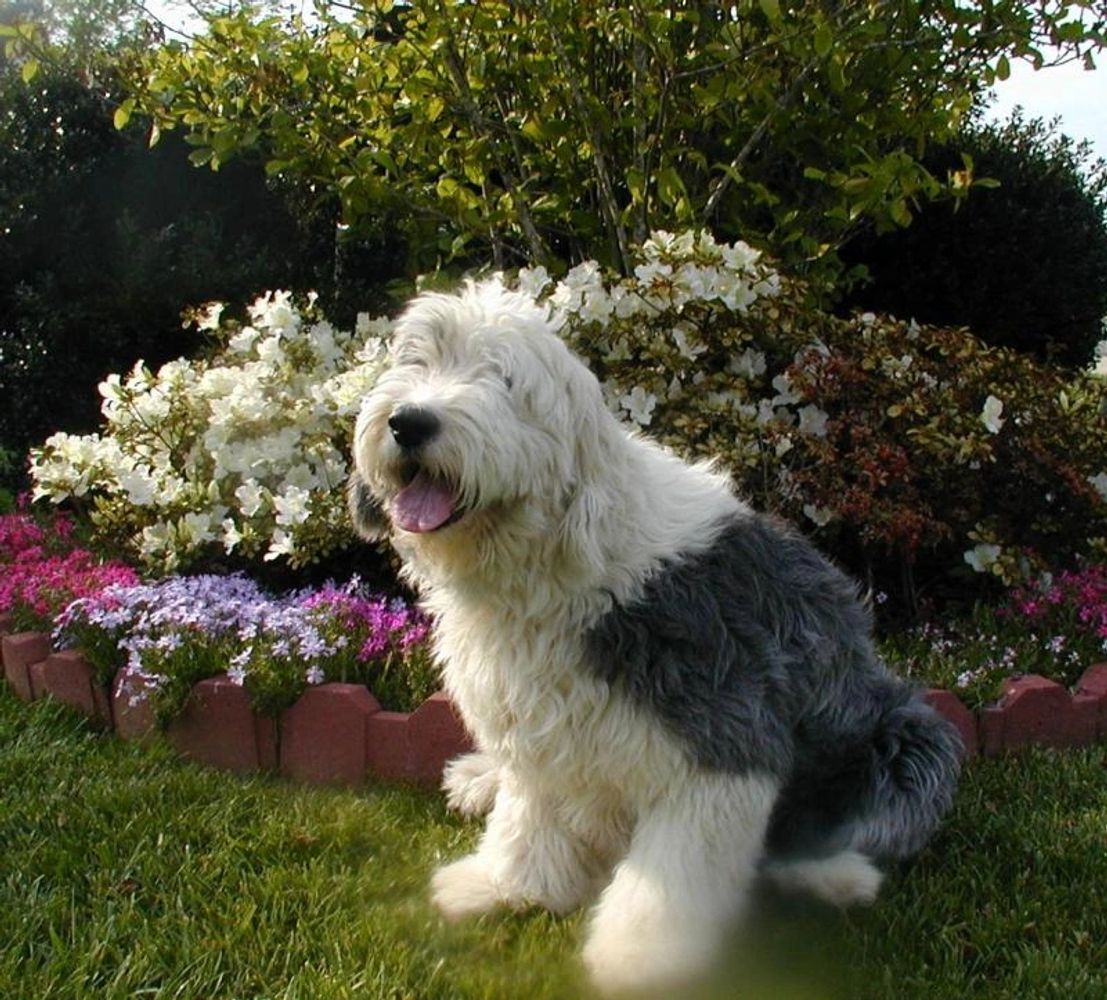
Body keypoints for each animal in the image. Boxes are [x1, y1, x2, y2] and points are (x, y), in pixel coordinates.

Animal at [345, 277, 960, 996]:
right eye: (417, 362)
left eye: (503, 380)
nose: (408, 422)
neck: (558, 558)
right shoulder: (537, 721)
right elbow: (528, 817)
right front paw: (505, 887)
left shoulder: (722, 739)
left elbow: (671, 877)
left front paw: (640, 961)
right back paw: (479, 779)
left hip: (906, 737)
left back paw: (833, 876)